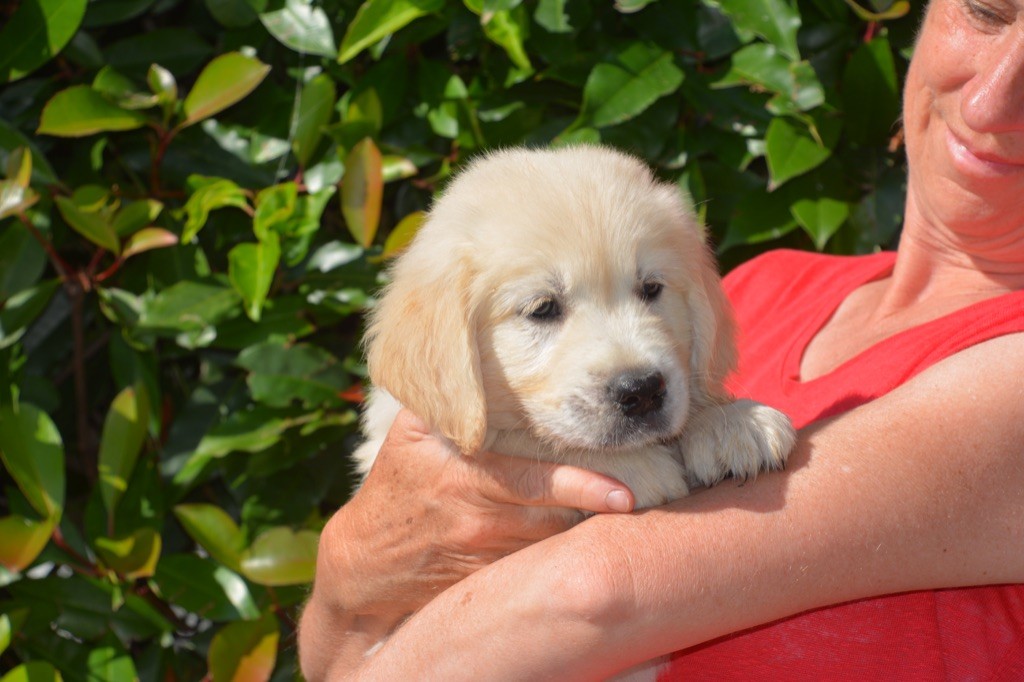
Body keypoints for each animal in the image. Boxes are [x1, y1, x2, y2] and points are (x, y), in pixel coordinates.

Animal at [353, 145, 795, 514]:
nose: (642, 390)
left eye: (651, 288)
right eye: (543, 308)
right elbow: (520, 439)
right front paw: (636, 465)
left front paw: (730, 422)